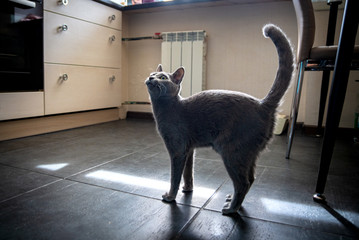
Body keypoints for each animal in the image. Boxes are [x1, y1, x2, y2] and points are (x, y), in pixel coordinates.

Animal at [145, 23, 294, 216]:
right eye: (152, 73)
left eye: (162, 77)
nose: (150, 78)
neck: (165, 109)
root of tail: (262, 104)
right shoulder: (189, 149)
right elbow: (188, 172)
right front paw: (188, 189)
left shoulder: (177, 150)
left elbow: (175, 177)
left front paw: (170, 196)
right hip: (248, 153)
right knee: (251, 178)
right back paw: (233, 201)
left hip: (232, 152)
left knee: (243, 182)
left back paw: (231, 209)